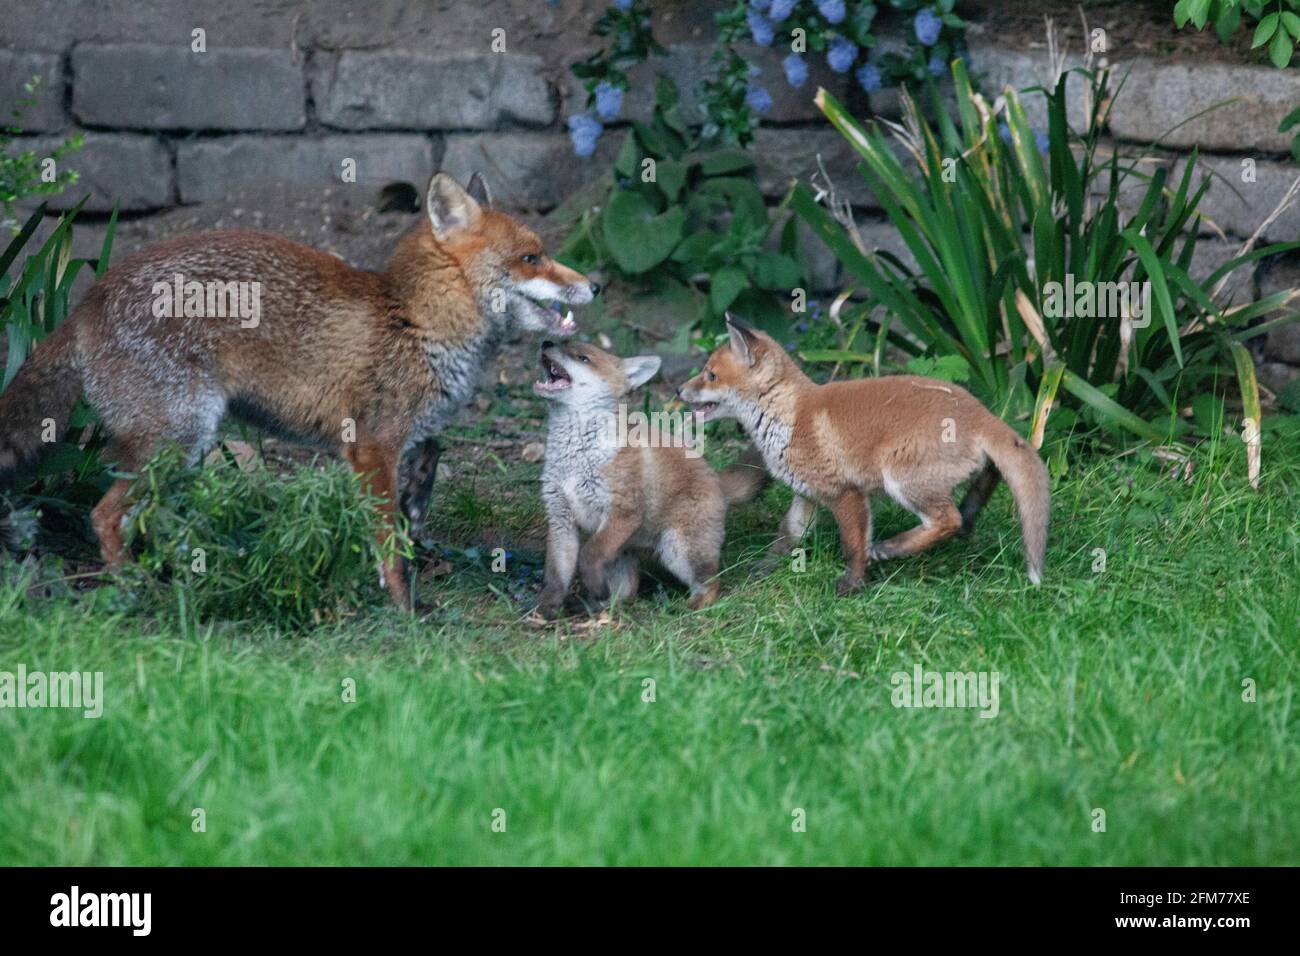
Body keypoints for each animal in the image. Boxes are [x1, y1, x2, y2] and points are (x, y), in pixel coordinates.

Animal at [0, 171, 599, 609]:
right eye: (531, 257)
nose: (595, 285)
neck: (417, 322)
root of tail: (90, 297)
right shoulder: (371, 446)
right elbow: (387, 542)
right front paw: (404, 609)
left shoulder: (405, 438)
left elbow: (422, 478)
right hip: (176, 437)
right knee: (104, 516)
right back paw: (138, 591)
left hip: (185, 447)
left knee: (151, 517)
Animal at [532, 340, 768, 618]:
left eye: (583, 358)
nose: (546, 342)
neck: (576, 459)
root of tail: (715, 478)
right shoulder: (560, 519)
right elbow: (556, 575)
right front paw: (546, 609)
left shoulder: (624, 512)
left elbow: (588, 555)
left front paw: (590, 585)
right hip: (623, 554)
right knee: (627, 592)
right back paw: (597, 607)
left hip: (678, 549)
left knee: (711, 582)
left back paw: (695, 606)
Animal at [678, 315, 1050, 595]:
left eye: (710, 374)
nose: (679, 390)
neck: (790, 414)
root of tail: (982, 414)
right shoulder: (806, 494)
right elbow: (787, 535)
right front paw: (764, 567)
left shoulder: (847, 493)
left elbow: (853, 546)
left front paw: (852, 586)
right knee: (984, 484)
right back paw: (967, 516)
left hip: (900, 477)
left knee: (947, 519)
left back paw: (893, 547)